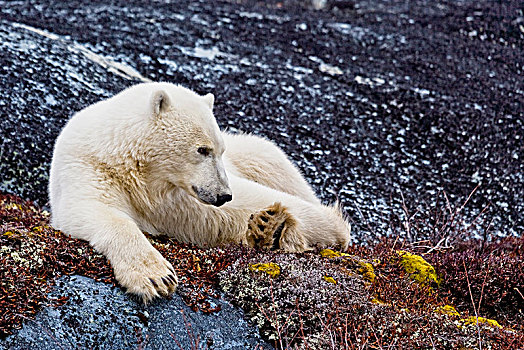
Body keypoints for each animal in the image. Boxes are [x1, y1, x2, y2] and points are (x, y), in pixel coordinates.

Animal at [49, 82, 350, 304]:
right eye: (202, 149)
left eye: (219, 150)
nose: (223, 195)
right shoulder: (89, 168)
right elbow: (90, 209)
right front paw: (155, 277)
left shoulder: (185, 194)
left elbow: (237, 208)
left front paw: (278, 223)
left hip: (260, 155)